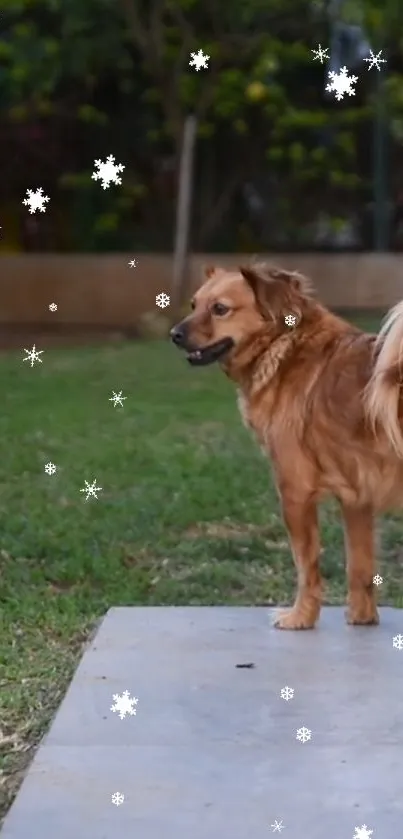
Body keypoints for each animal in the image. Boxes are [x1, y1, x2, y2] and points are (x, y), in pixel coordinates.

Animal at [171, 264, 403, 632]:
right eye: (194, 304)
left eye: (220, 309)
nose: (173, 334)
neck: (283, 344)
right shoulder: (356, 499)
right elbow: (359, 565)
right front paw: (362, 618)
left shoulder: (295, 493)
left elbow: (306, 566)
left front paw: (300, 618)